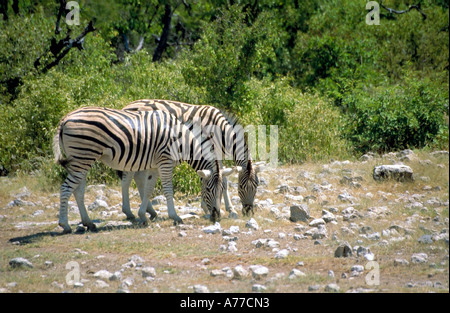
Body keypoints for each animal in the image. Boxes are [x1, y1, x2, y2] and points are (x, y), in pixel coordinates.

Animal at [53, 106, 234, 232]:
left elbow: (148, 189)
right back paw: (65, 224)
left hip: (82, 159)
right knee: (66, 188)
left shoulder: (154, 165)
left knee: (78, 190)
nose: (216, 217)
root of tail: (65, 118)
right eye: (208, 190)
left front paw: (143, 215)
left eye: (222, 189)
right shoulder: (165, 162)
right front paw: (174, 216)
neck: (181, 141)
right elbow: (167, 189)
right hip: (83, 157)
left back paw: (88, 223)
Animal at [119, 98, 264, 219]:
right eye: (241, 186)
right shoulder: (211, 151)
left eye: (256, 186)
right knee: (128, 177)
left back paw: (149, 211)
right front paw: (217, 208)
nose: (248, 212)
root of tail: (127, 106)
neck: (221, 131)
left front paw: (228, 209)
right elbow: (221, 181)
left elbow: (222, 179)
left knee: (138, 177)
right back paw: (130, 212)